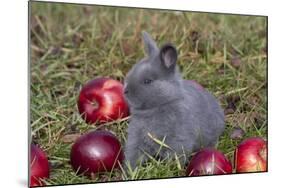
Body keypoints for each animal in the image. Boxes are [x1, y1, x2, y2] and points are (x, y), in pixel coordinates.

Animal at [123, 31, 224, 170]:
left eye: (148, 81)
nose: (125, 91)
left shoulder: (179, 140)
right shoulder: (135, 140)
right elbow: (133, 156)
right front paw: (128, 171)